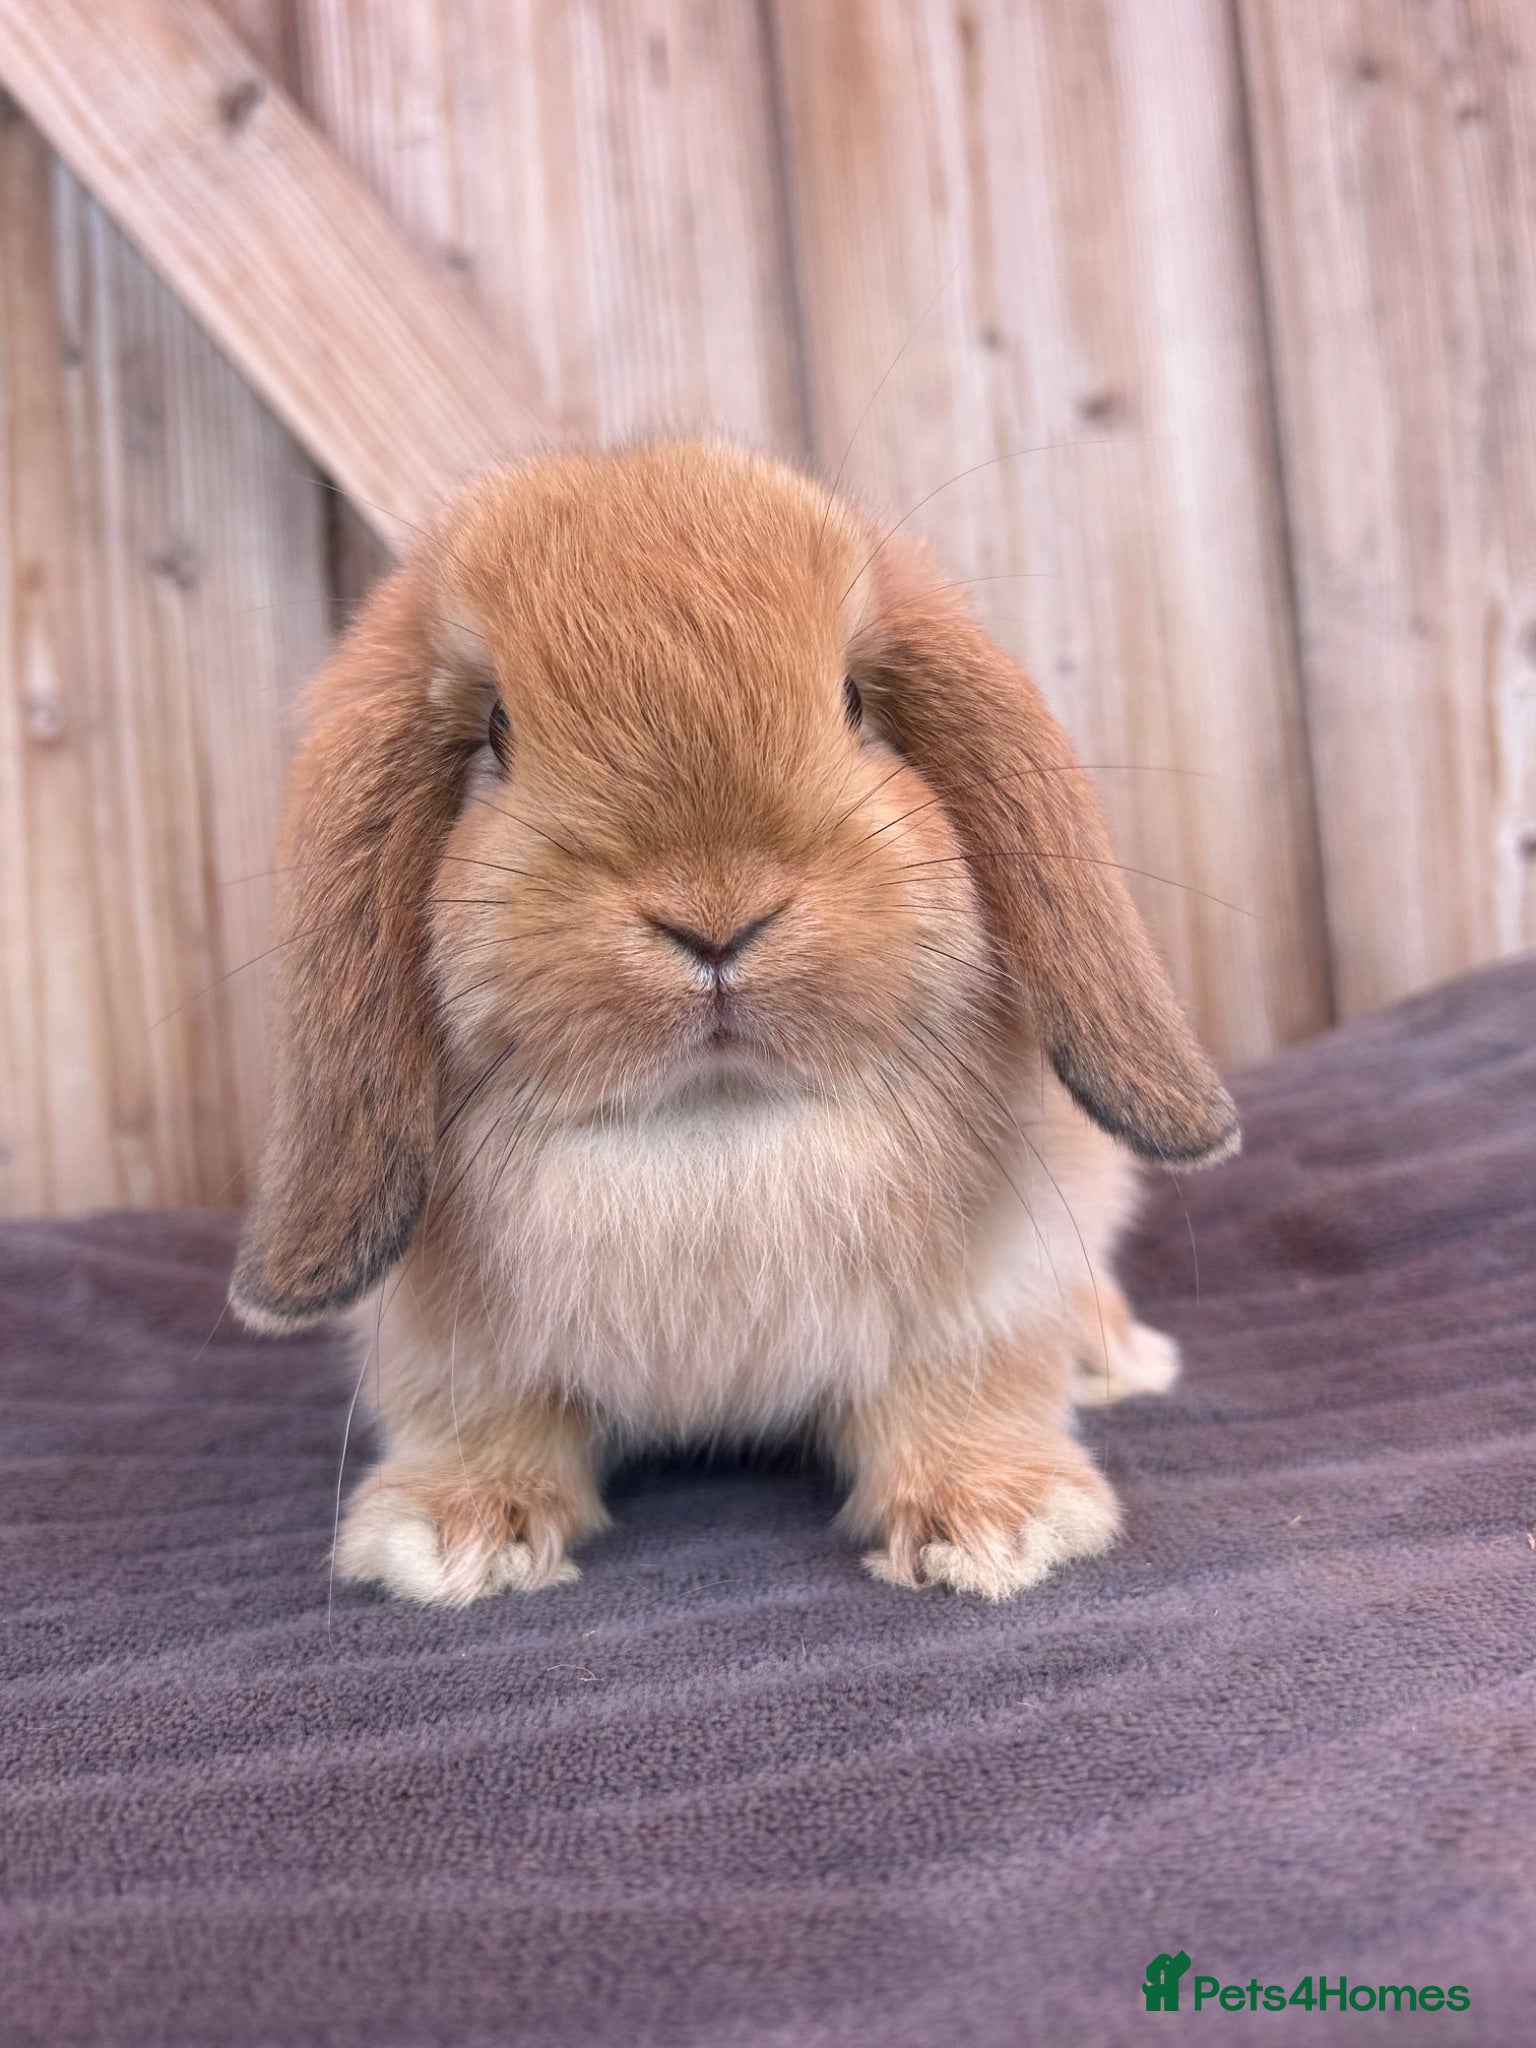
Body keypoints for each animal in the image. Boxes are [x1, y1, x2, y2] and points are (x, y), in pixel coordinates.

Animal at [230, 439, 1237, 1604]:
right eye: (495, 730)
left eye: (854, 700)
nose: (715, 914)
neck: (711, 1130)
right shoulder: (450, 1352)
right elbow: (487, 1421)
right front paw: (458, 1534)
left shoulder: (976, 1304)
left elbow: (960, 1395)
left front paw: (1000, 1524)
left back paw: (1116, 1356)